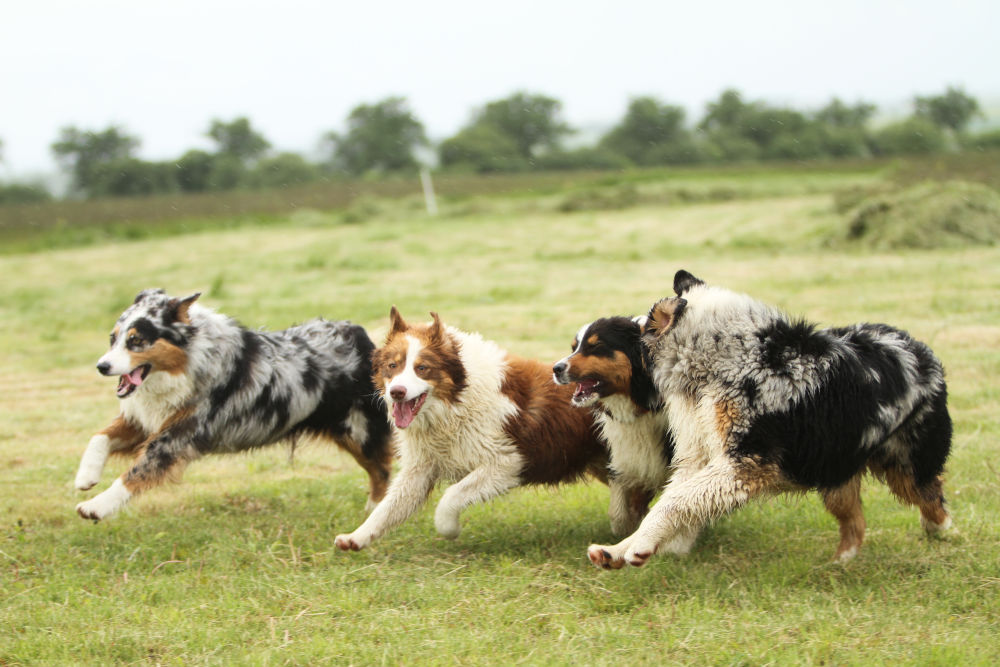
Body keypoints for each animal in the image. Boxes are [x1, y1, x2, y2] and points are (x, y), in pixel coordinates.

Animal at [74, 290, 392, 524]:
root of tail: (364, 337)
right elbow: (99, 437)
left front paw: (96, 506)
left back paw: (374, 511)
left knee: (382, 471)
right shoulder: (147, 420)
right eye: (113, 338)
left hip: (359, 431)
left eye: (136, 340)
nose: (102, 366)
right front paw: (86, 476)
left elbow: (136, 473)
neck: (191, 362)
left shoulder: (177, 435)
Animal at [336, 310, 608, 552]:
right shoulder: (421, 467)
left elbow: (451, 496)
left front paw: (449, 528)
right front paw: (356, 537)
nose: (397, 392)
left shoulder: (506, 461)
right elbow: (387, 507)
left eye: (422, 368)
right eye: (393, 365)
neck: (458, 398)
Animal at [548, 318, 680, 544]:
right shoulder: (623, 455)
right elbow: (618, 512)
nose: (556, 368)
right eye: (574, 348)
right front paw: (627, 528)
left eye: (596, 346)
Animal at [584, 272, 952, 568]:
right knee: (856, 523)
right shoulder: (698, 457)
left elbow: (674, 502)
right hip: (835, 469)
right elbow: (669, 502)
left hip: (905, 464)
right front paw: (620, 550)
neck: (721, 360)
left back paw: (942, 531)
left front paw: (641, 547)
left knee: (932, 498)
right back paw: (840, 563)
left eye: (639, 331)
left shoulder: (745, 462)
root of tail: (917, 347)